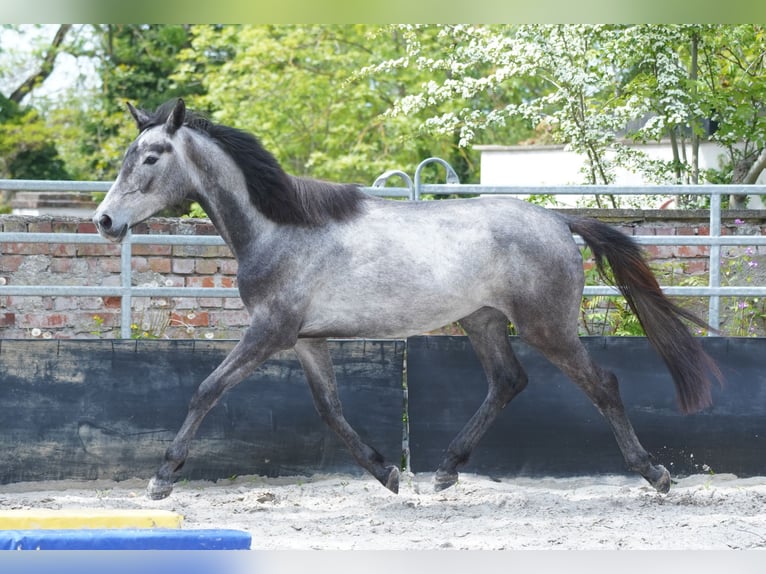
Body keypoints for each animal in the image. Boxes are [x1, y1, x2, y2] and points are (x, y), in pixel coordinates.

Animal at [93, 98, 720, 500]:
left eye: (151, 156)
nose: (104, 221)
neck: (280, 228)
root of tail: (558, 220)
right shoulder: (306, 340)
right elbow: (331, 410)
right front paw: (387, 474)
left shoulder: (269, 333)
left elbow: (206, 390)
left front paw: (162, 478)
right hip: (482, 322)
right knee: (508, 382)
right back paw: (444, 471)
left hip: (549, 328)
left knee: (602, 384)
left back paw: (655, 474)